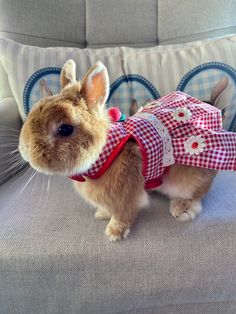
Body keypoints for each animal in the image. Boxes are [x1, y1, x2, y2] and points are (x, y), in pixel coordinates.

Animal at [18, 61, 218, 243]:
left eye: (65, 129)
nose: (26, 150)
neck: (105, 155)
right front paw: (102, 214)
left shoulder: (125, 199)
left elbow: (123, 215)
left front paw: (114, 233)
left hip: (189, 179)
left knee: (196, 195)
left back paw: (180, 209)